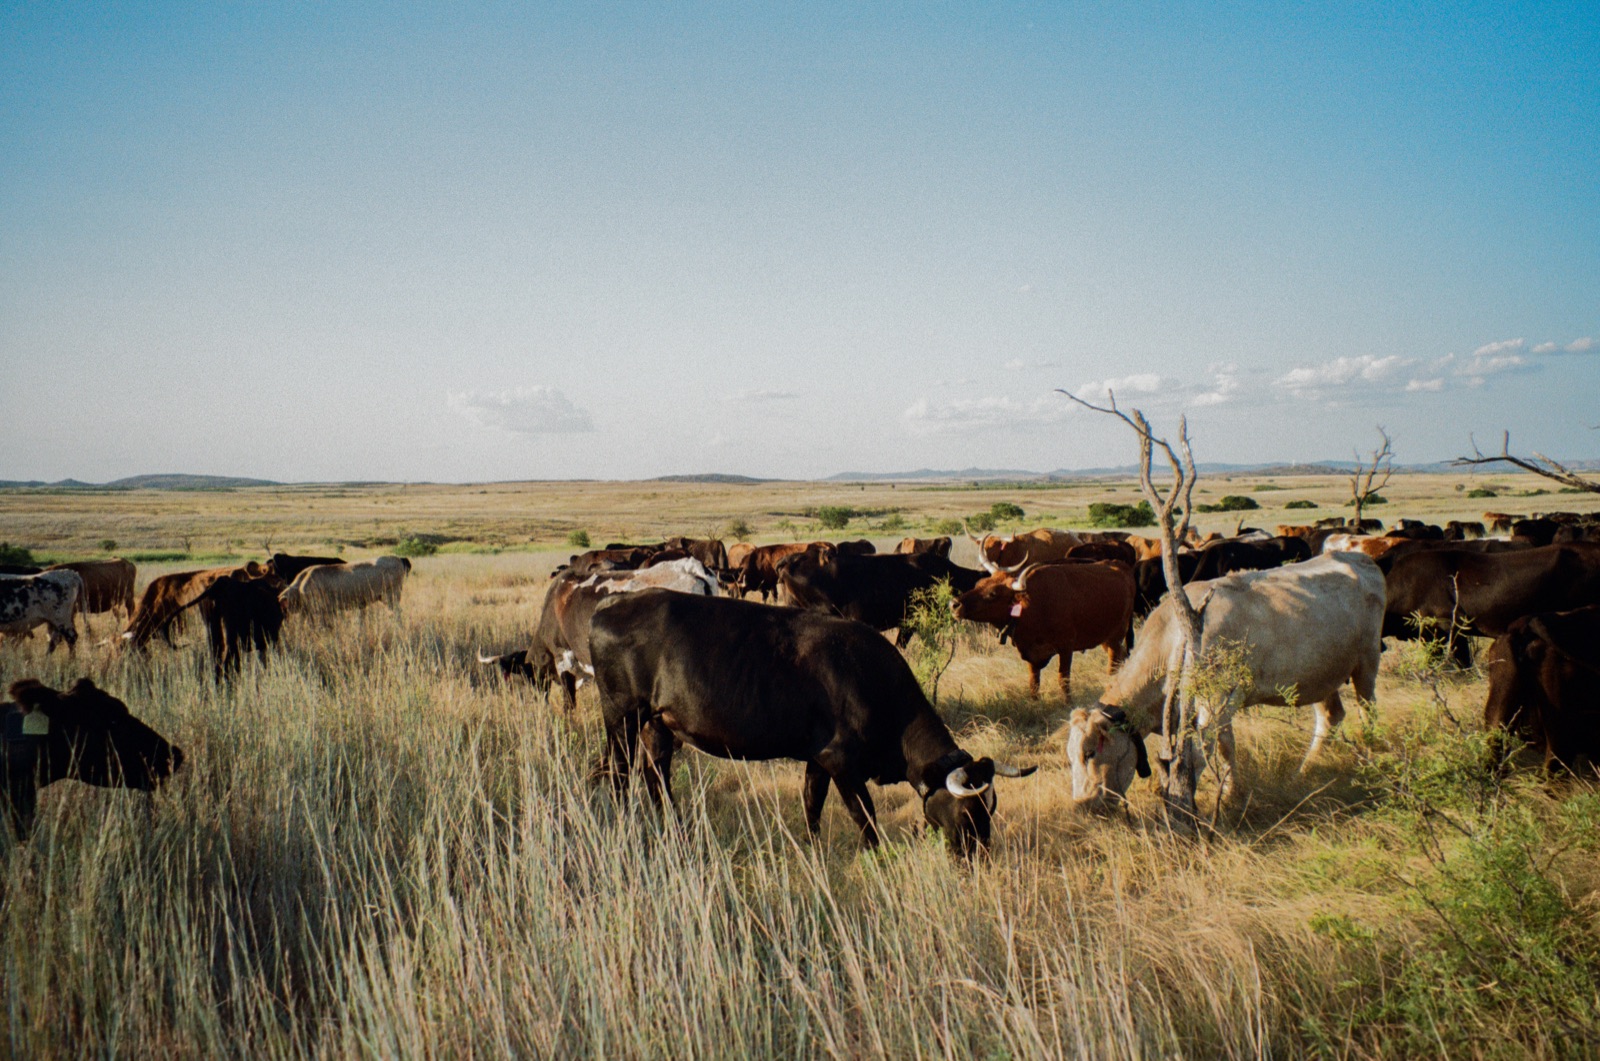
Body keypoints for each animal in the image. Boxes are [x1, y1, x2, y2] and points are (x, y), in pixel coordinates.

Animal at [589, 590, 1036, 857]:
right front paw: (875, 857)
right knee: (619, 772)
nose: (978, 857)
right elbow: (864, 816)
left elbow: (811, 807)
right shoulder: (840, 761)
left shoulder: (817, 760)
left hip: (657, 724)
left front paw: (812, 849)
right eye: (968, 811)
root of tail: (612, 603)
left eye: (991, 808)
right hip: (621, 716)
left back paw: (674, 830)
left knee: (656, 776)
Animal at [952, 560, 1135, 699]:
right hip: (1105, 639)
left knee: (1113, 665)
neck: (1036, 606)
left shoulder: (1066, 647)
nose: (954, 604)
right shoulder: (1031, 654)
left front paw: (1067, 703)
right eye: (978, 584)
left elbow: (1063, 680)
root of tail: (1120, 565)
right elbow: (1034, 684)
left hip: (1116, 636)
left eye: (993, 594)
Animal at [1065, 553, 1385, 811]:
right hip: (1318, 676)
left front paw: (1219, 796)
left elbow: (1216, 749)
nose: (1082, 804)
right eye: (1069, 757)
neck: (1175, 638)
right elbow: (1215, 746)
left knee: (1368, 712)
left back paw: (1370, 762)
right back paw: (1304, 771)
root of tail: (1357, 557)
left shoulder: (1220, 698)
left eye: (1089, 752)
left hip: (1366, 661)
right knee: (1331, 717)